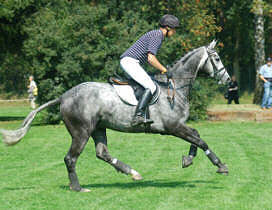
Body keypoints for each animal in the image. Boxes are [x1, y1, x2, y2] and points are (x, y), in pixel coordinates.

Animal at [0, 39, 231, 192]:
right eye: (217, 58)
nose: (228, 80)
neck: (174, 87)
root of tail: (64, 96)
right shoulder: (173, 127)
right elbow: (200, 140)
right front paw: (220, 166)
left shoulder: (176, 128)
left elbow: (197, 137)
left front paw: (188, 159)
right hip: (81, 132)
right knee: (70, 158)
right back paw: (78, 188)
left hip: (98, 128)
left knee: (102, 153)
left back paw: (132, 172)